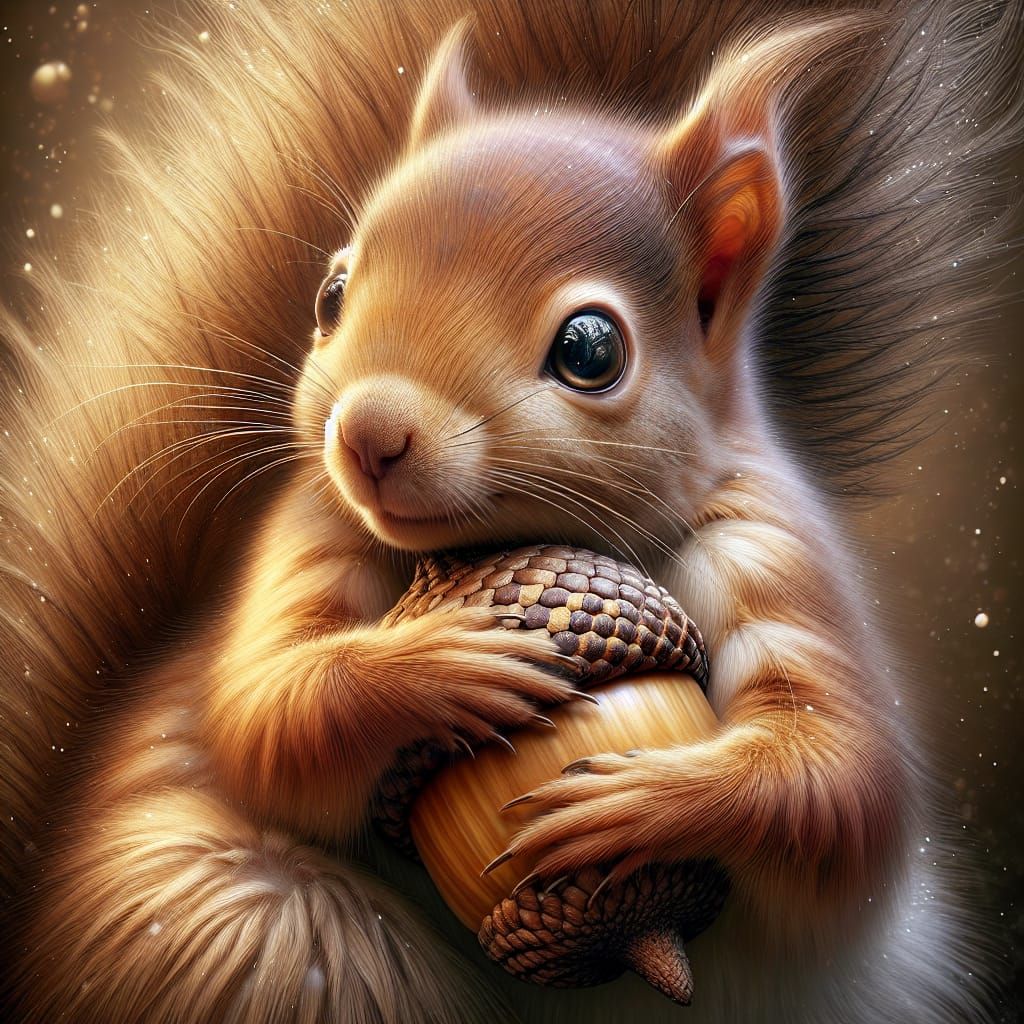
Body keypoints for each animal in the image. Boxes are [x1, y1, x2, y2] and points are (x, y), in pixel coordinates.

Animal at [1, 0, 1020, 1021]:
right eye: (332, 295)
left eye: (590, 348)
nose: (368, 433)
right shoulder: (314, 529)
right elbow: (267, 709)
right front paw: (441, 665)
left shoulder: (768, 541)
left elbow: (838, 779)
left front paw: (645, 802)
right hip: (270, 937)